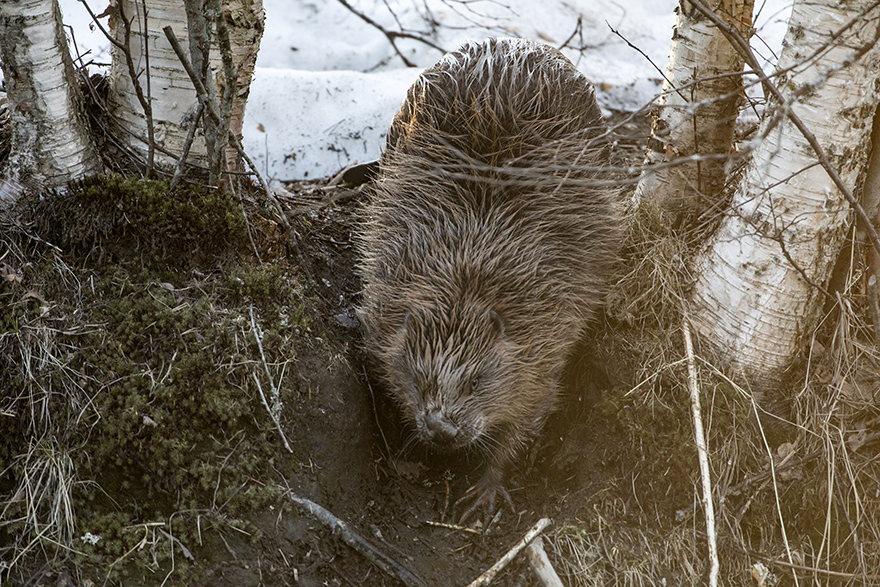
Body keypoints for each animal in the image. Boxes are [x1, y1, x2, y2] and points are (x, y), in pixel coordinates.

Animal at [356, 39, 620, 520]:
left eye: (476, 381)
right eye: (418, 376)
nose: (442, 429)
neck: (468, 280)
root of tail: (515, 43)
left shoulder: (546, 337)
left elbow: (530, 413)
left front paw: (486, 491)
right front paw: (411, 455)